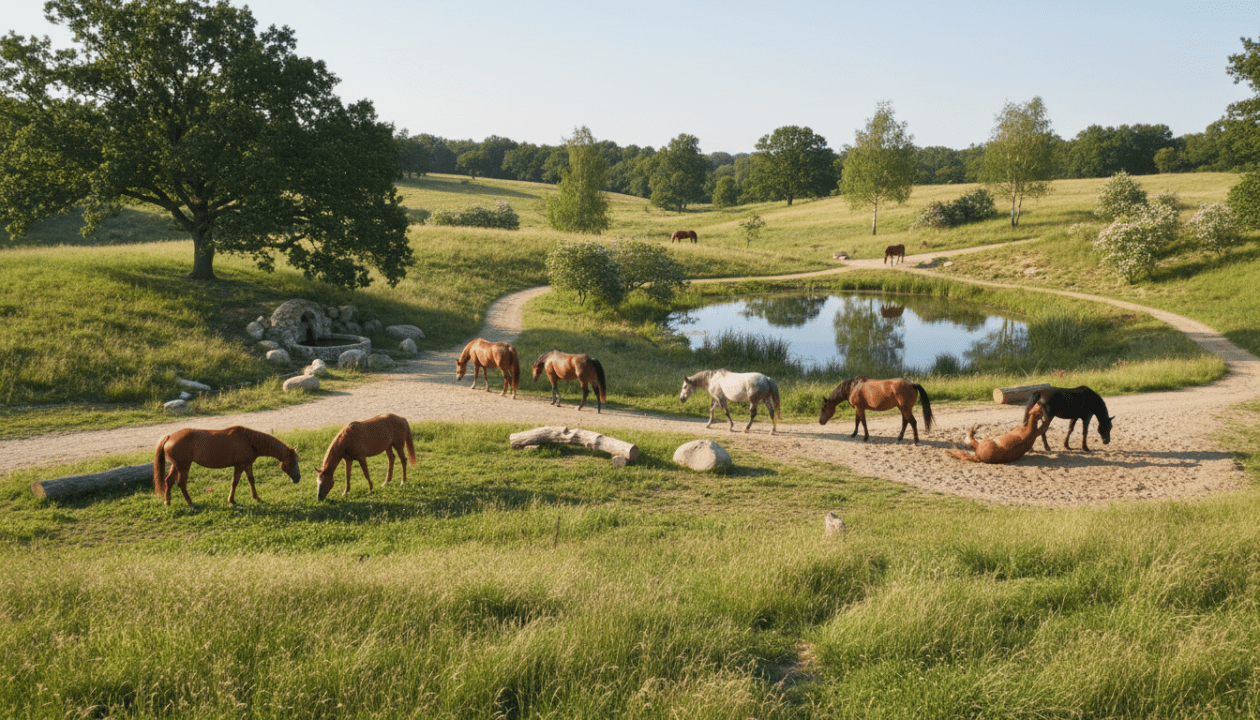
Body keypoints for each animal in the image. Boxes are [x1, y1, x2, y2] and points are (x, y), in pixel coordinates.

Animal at [153, 426, 300, 506]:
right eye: (292, 462)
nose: (298, 479)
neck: (249, 440)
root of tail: (169, 436)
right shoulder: (239, 466)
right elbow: (235, 482)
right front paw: (231, 500)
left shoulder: (247, 465)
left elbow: (251, 481)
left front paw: (256, 497)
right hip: (184, 467)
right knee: (181, 483)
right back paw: (190, 502)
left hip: (176, 466)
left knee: (168, 481)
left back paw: (168, 501)